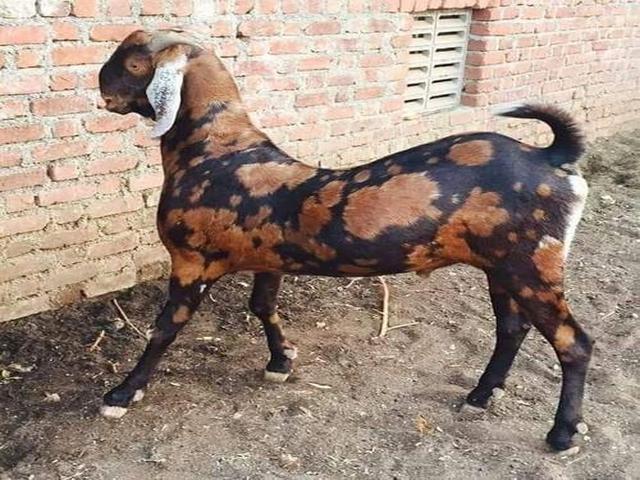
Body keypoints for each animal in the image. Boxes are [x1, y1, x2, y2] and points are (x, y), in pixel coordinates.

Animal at [98, 29, 592, 451]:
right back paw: (481, 395)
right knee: (512, 328)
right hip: (501, 265)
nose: (102, 86)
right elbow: (262, 306)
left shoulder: (192, 260)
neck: (218, 149)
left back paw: (562, 433)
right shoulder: (268, 259)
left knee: (574, 342)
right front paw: (281, 362)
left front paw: (122, 394)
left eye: (136, 63)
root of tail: (553, 156)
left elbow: (165, 329)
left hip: (532, 263)